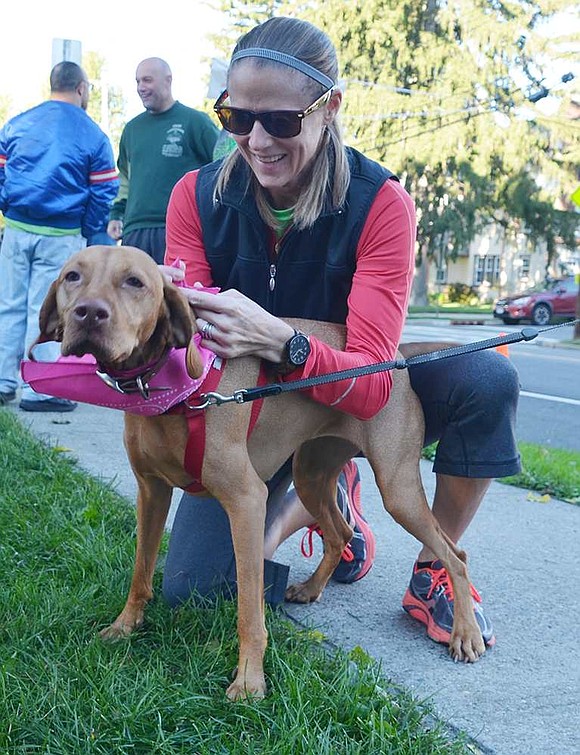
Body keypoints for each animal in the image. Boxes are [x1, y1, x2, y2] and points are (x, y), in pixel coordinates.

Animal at [31, 248, 484, 704]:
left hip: (396, 488)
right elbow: (141, 571)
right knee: (339, 532)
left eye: (135, 282)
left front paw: (250, 681)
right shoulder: (151, 492)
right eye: (72, 277)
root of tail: (397, 358)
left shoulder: (247, 501)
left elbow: (249, 607)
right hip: (312, 472)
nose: (89, 314)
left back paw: (465, 632)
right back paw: (312, 587)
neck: (168, 385)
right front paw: (125, 627)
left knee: (455, 555)